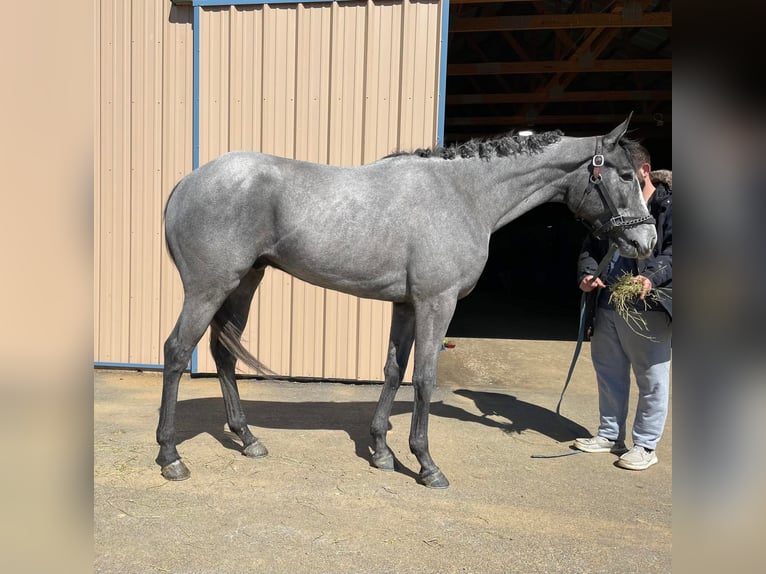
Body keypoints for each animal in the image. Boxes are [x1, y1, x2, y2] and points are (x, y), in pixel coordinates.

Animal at [159, 117, 656, 490]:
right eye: (625, 176)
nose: (645, 241)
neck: (464, 194)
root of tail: (187, 182)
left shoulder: (407, 305)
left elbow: (394, 370)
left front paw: (381, 450)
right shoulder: (437, 302)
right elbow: (424, 377)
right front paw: (426, 464)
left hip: (245, 282)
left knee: (223, 354)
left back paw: (248, 439)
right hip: (209, 288)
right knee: (178, 352)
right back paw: (170, 455)